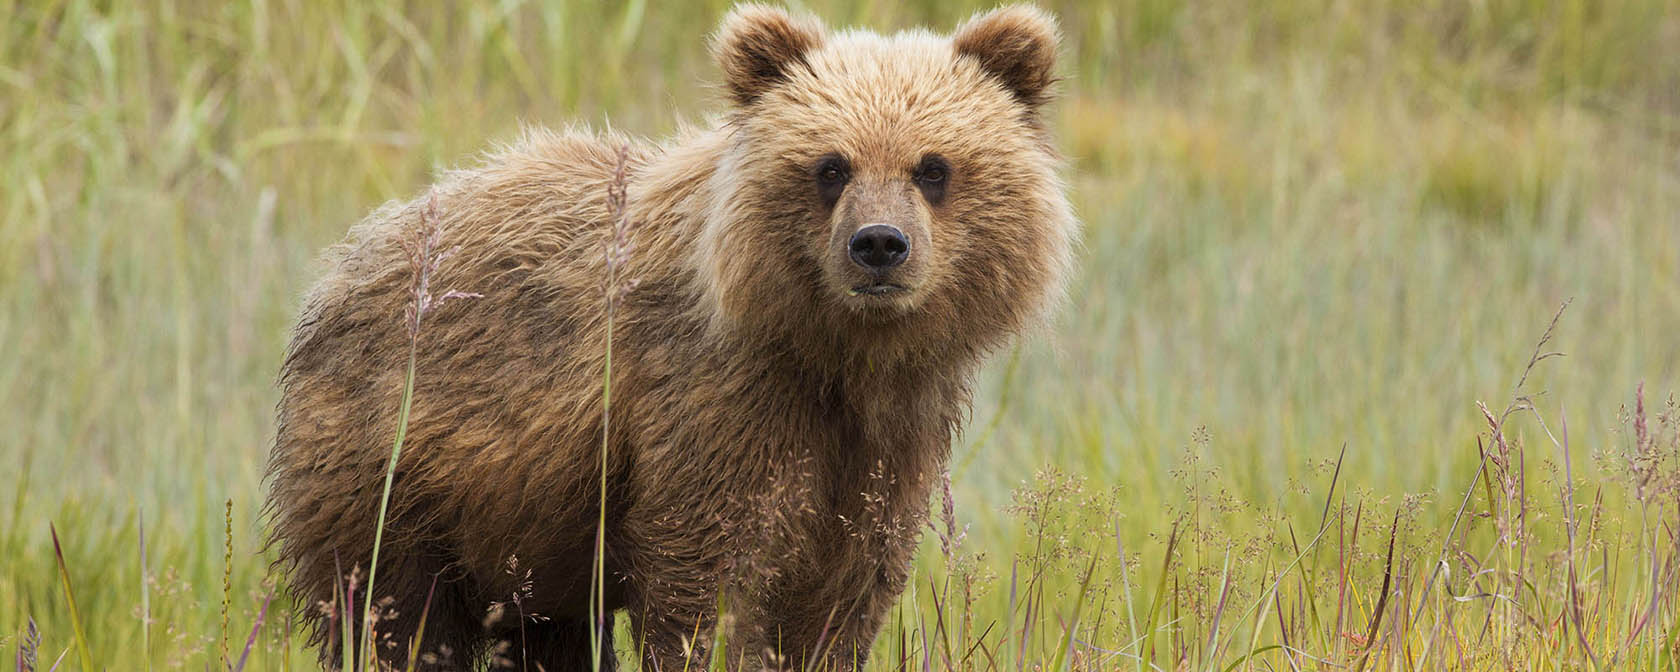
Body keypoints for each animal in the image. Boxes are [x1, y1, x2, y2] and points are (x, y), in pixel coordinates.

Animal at [266, 4, 1075, 670]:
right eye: (831, 165)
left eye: (933, 167)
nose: (878, 244)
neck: (834, 352)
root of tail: (347, 259)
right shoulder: (715, 408)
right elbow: (709, 583)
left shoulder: (887, 440)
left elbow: (842, 594)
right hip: (396, 467)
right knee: (391, 612)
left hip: (524, 532)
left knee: (540, 635)